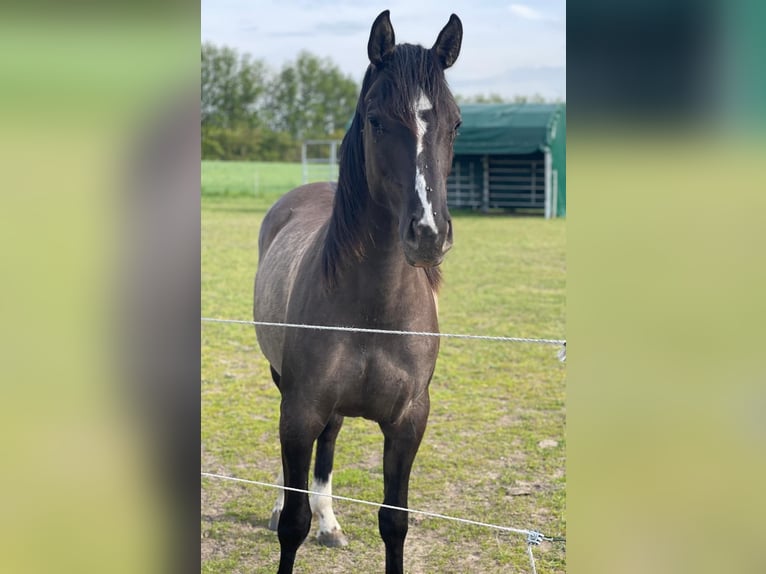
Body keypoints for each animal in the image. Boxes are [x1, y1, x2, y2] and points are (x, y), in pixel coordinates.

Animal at [253, 10, 462, 574]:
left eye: (456, 123)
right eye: (376, 120)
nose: (428, 233)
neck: (375, 309)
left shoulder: (409, 422)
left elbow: (394, 523)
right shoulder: (299, 410)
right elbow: (293, 523)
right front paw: (290, 514)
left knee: (328, 448)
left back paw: (330, 524)